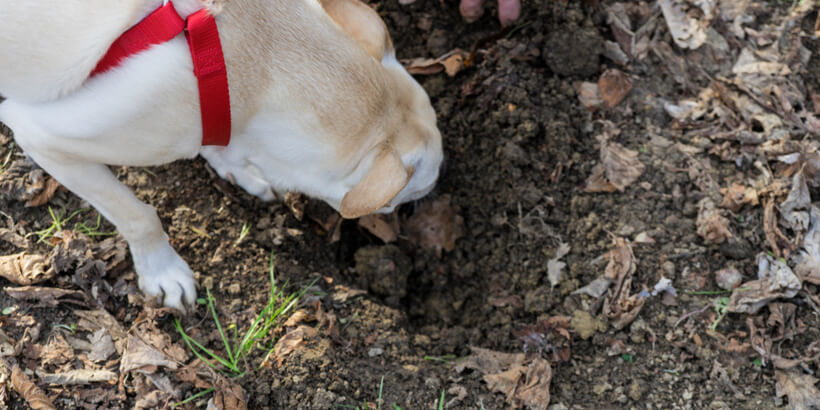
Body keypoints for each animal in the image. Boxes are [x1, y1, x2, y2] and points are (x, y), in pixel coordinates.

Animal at [0, 0, 446, 310]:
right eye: (404, 199)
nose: (408, 229)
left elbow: (221, 144)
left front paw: (239, 169)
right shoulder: (40, 135)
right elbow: (139, 215)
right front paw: (162, 270)